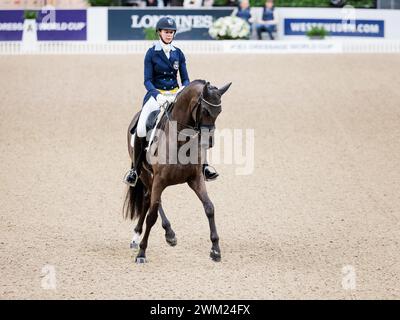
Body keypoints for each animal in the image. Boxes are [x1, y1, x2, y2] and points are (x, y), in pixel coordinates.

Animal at [124, 79, 231, 262]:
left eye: (220, 111)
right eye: (205, 110)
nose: (209, 142)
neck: (181, 141)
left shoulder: (195, 179)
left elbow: (209, 208)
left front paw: (215, 250)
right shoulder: (160, 180)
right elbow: (152, 216)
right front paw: (142, 254)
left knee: (147, 199)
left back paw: (140, 236)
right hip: (145, 174)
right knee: (152, 202)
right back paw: (164, 234)